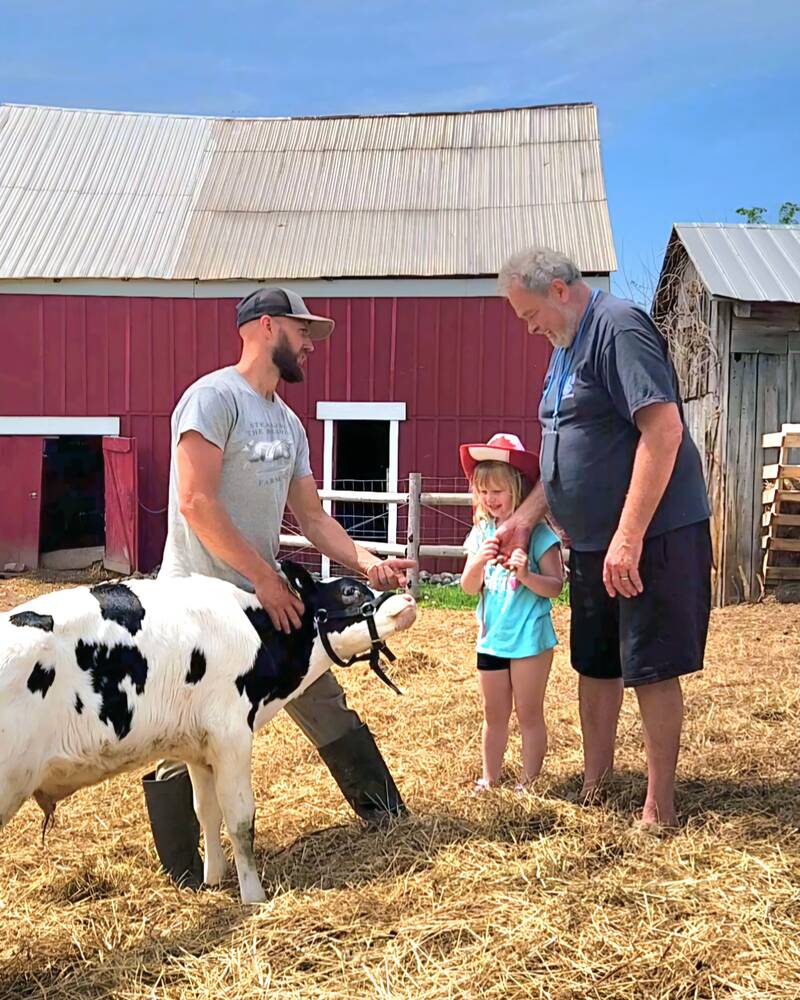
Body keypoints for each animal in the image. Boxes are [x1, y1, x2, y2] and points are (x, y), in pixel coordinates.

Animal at [1, 564, 418, 908]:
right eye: (349, 591)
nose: (408, 599)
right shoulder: (231, 733)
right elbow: (240, 817)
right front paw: (253, 896)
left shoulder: (197, 746)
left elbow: (206, 812)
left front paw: (213, 880)